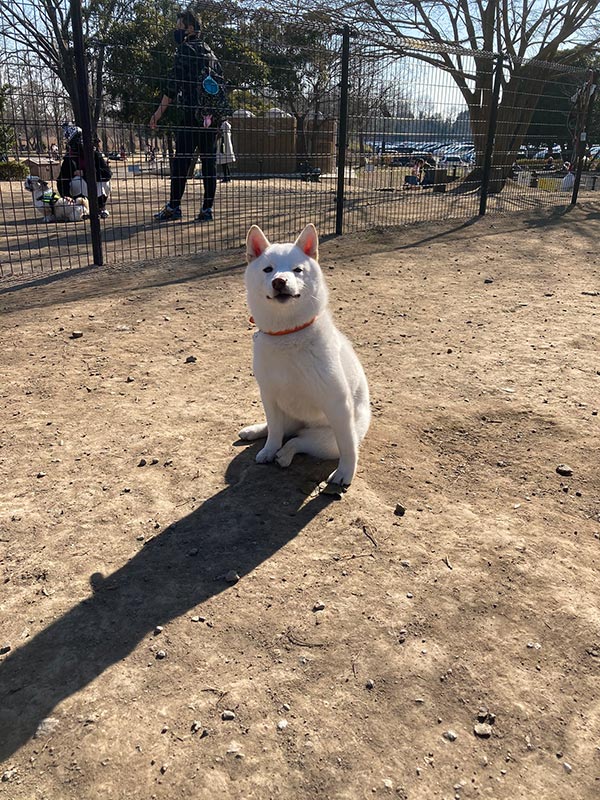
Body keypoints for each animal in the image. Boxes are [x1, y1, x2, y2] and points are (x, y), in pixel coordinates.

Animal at [240, 222, 370, 490]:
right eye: (268, 269)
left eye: (297, 270)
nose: (279, 281)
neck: (287, 335)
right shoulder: (269, 396)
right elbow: (275, 432)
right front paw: (268, 450)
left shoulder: (337, 404)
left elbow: (348, 448)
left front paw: (345, 473)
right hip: (288, 417)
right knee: (280, 431)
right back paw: (256, 433)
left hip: (325, 440)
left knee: (298, 441)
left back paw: (285, 455)